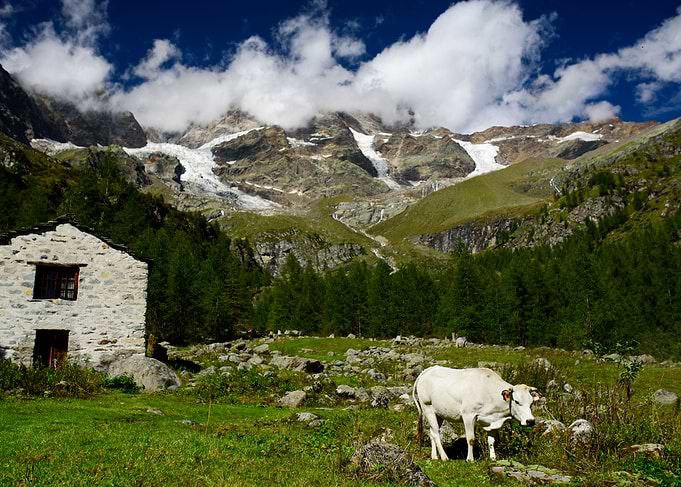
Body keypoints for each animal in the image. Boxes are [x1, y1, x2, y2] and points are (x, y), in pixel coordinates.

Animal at [412, 366, 540, 462]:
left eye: (531, 403)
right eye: (517, 401)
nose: (530, 421)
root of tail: (428, 370)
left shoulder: (491, 421)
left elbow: (492, 441)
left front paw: (493, 458)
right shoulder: (468, 415)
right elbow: (471, 439)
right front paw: (470, 459)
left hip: (438, 413)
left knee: (432, 432)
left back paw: (434, 456)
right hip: (427, 408)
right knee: (436, 434)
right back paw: (444, 457)